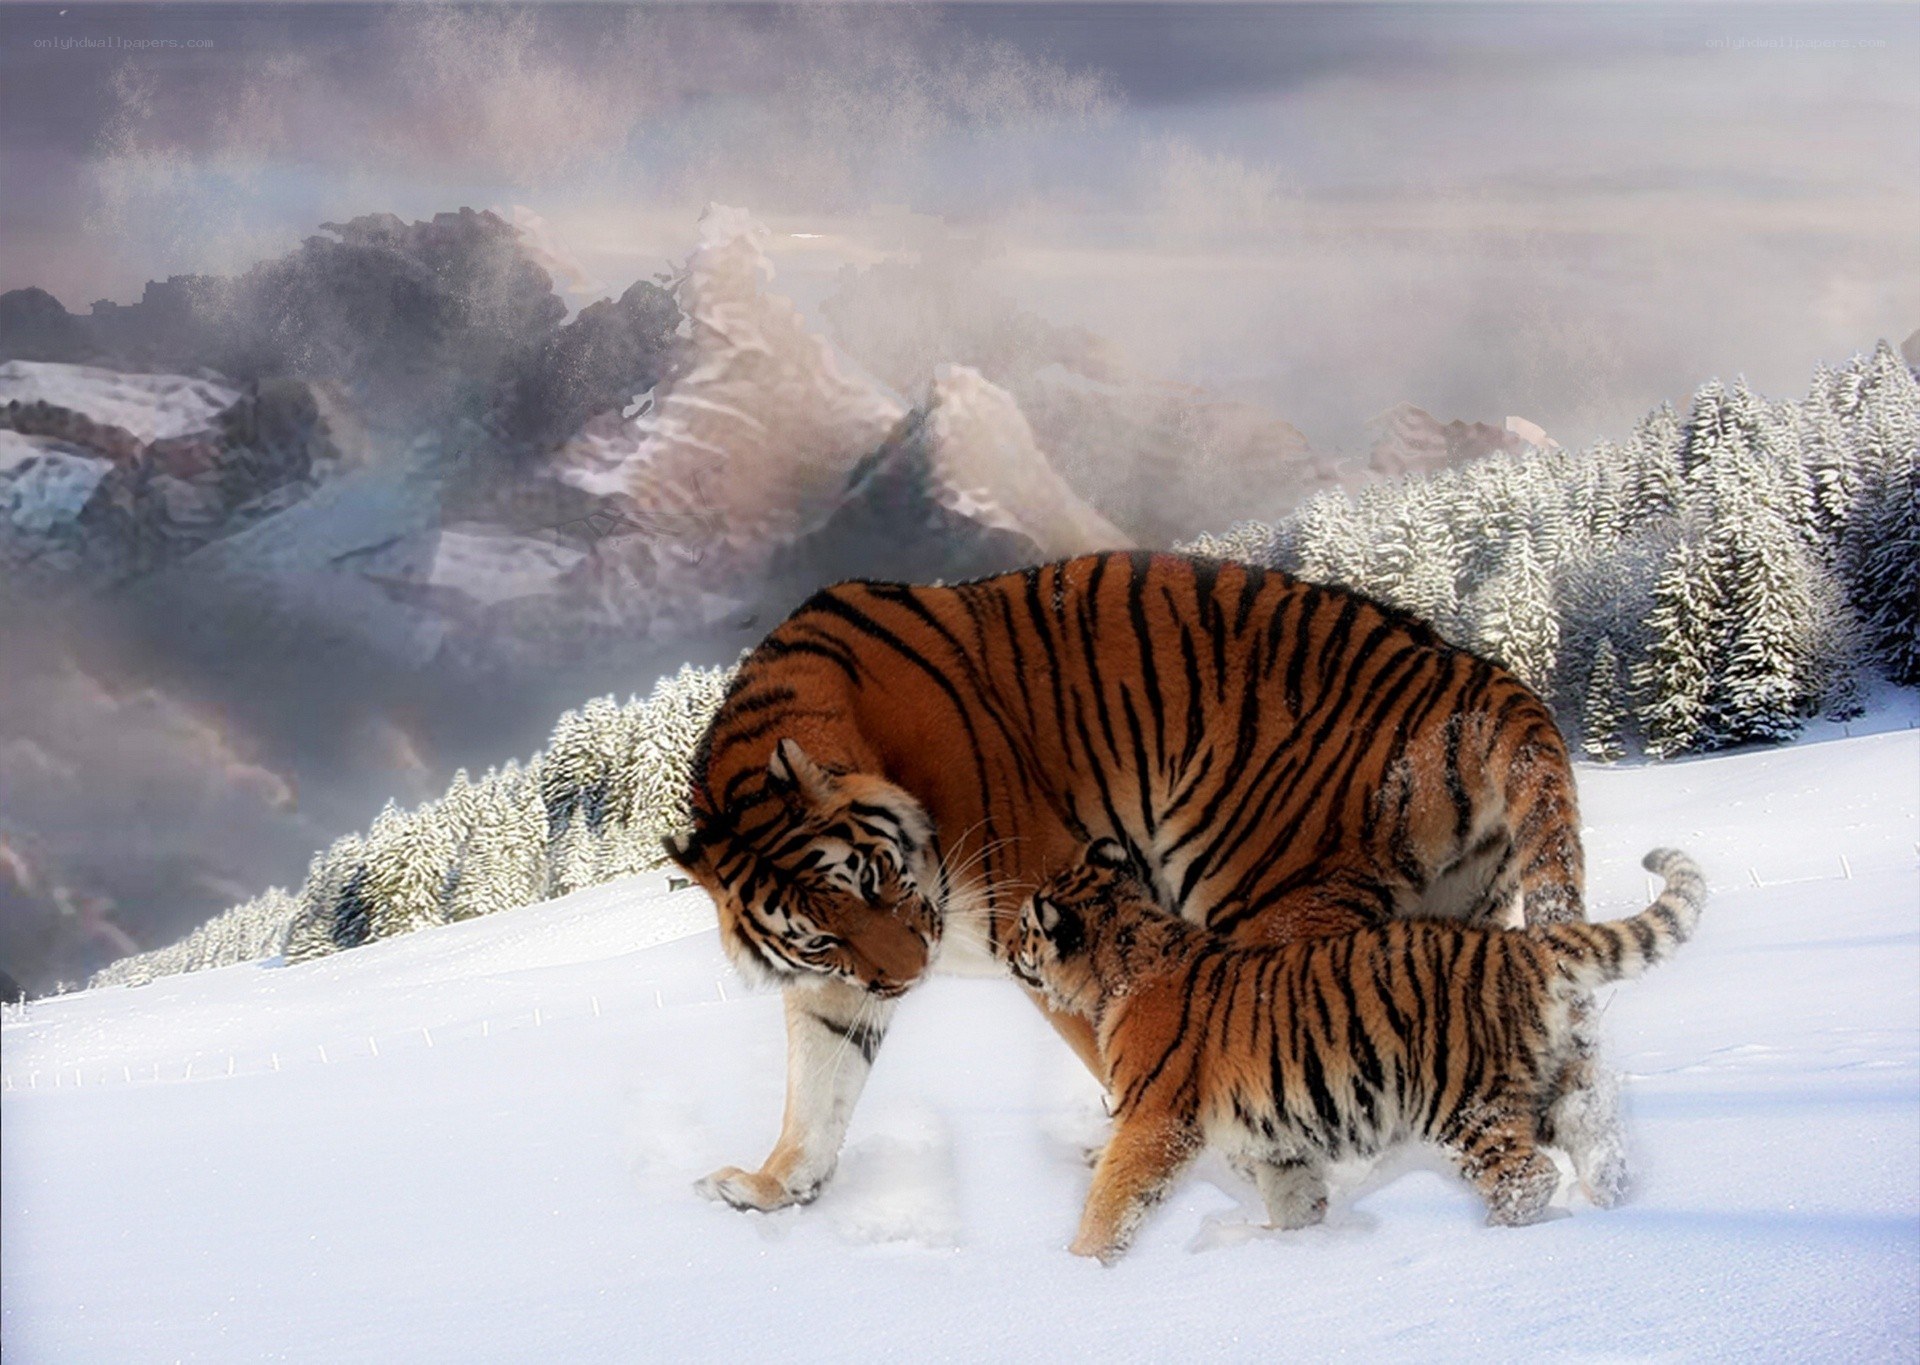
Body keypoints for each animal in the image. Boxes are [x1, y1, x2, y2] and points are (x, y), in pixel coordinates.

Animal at [663, 551, 1597, 1213]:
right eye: (821, 934)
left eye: (874, 879)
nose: (909, 976)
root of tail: (1482, 675)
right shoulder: (836, 985)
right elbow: (817, 1085)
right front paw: (772, 1187)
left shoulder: (1040, 908)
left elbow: (1116, 1052)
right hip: (1455, 915)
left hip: (1264, 896)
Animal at [1010, 843, 1708, 1263]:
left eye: (1024, 928)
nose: (1009, 949)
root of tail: (1520, 945)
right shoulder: (1277, 1138)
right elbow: (1292, 1197)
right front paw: (1296, 1246)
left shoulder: (1153, 1119)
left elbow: (1113, 1198)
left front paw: (1081, 1267)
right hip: (1551, 1083)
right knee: (1596, 1132)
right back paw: (1608, 1202)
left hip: (1466, 1102)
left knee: (1526, 1176)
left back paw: (1492, 1241)